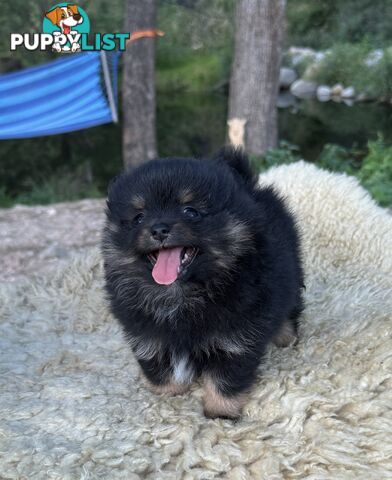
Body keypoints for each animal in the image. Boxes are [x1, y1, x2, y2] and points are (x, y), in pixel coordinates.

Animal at [101, 148, 304, 418]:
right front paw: (169, 395)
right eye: (139, 217)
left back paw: (286, 338)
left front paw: (220, 413)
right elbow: (160, 367)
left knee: (289, 310)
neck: (181, 295)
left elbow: (225, 378)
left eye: (190, 211)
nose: (159, 229)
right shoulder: (148, 334)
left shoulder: (236, 338)